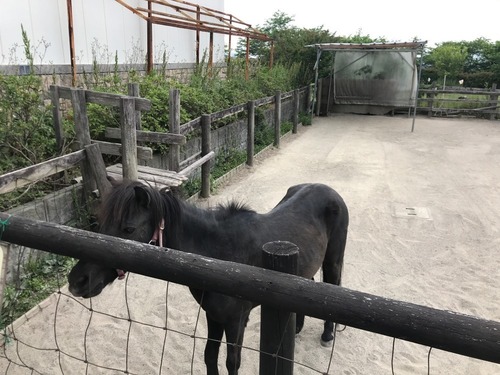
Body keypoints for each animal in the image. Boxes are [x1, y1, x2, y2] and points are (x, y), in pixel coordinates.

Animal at [67, 181, 348, 374]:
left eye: (128, 229)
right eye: (101, 225)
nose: (77, 281)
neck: (219, 257)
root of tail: (329, 191)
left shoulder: (236, 321)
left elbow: (231, 362)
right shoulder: (213, 316)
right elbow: (209, 356)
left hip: (332, 261)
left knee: (332, 285)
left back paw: (327, 335)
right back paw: (297, 328)